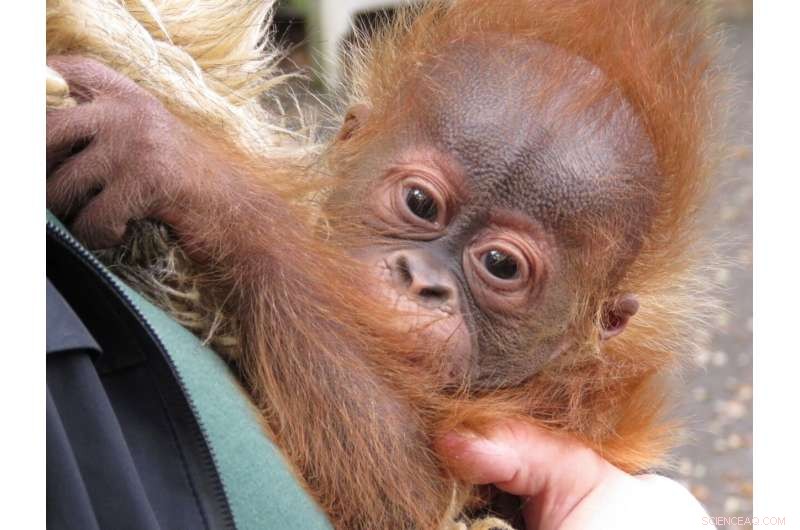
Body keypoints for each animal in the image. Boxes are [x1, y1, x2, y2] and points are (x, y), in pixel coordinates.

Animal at [45, 0, 723, 528]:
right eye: (420, 203)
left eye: (500, 265)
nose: (423, 282)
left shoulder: (551, 416)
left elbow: (415, 493)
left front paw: (175, 160)